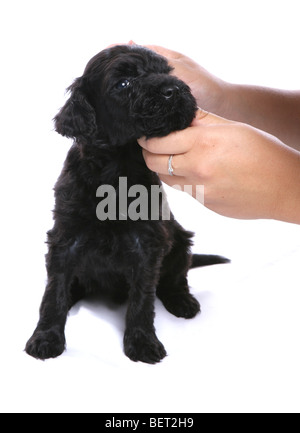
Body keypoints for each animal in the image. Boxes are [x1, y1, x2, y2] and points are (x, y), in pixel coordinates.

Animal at [25, 45, 227, 362]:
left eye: (165, 72)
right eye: (123, 83)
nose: (173, 89)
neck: (117, 169)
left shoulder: (147, 244)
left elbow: (142, 299)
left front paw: (143, 341)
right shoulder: (65, 237)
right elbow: (54, 291)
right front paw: (46, 337)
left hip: (181, 241)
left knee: (175, 278)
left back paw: (182, 301)